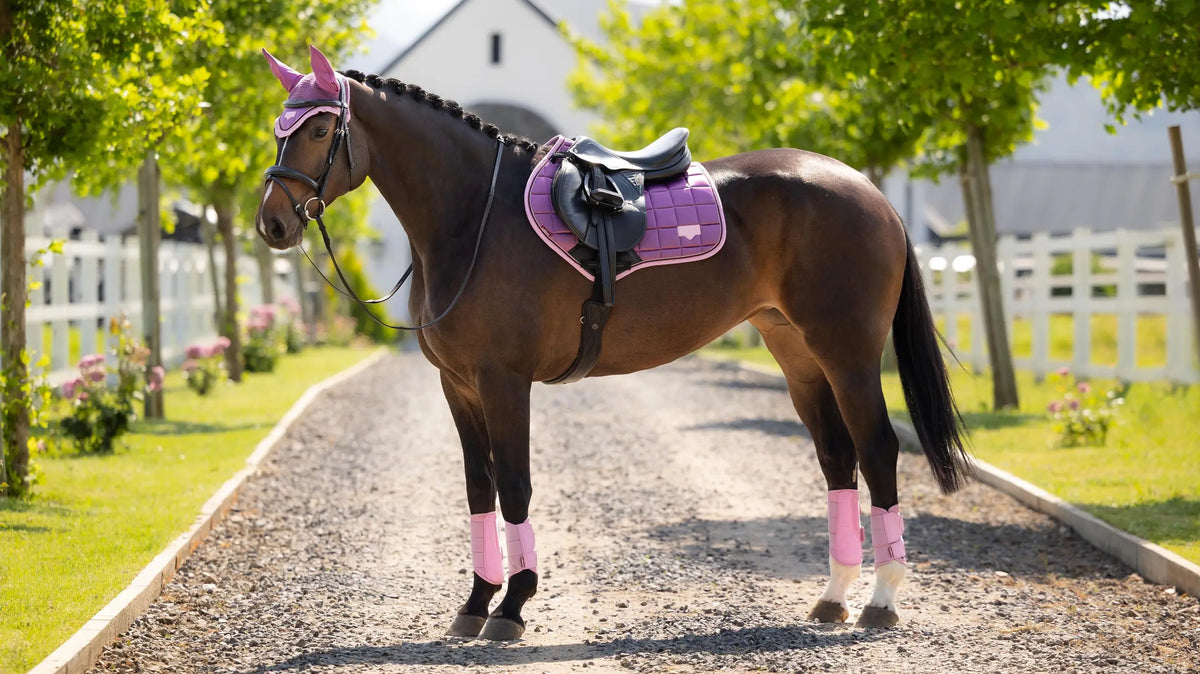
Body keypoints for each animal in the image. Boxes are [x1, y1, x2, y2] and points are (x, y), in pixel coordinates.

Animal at [255, 46, 971, 640]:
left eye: (318, 129)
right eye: (278, 130)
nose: (271, 223)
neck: (473, 217)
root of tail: (868, 191)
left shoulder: (503, 379)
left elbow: (514, 484)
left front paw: (513, 607)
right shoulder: (456, 384)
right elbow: (478, 488)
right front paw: (476, 602)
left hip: (848, 354)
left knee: (878, 452)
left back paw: (881, 600)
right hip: (797, 356)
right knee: (837, 459)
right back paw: (833, 596)